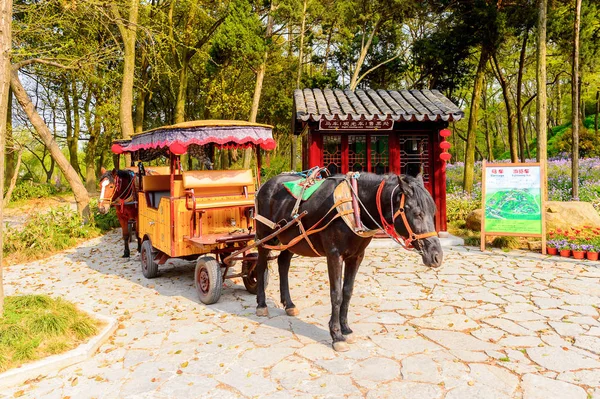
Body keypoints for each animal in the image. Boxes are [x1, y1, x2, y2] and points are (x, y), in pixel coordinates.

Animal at [253, 173, 440, 352]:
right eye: (417, 213)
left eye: (433, 212)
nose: (437, 256)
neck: (355, 206)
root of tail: (265, 185)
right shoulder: (334, 255)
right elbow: (336, 294)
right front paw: (336, 335)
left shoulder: (356, 256)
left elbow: (348, 292)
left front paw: (346, 329)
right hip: (264, 236)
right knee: (261, 265)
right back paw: (261, 304)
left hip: (291, 240)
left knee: (283, 263)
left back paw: (289, 304)